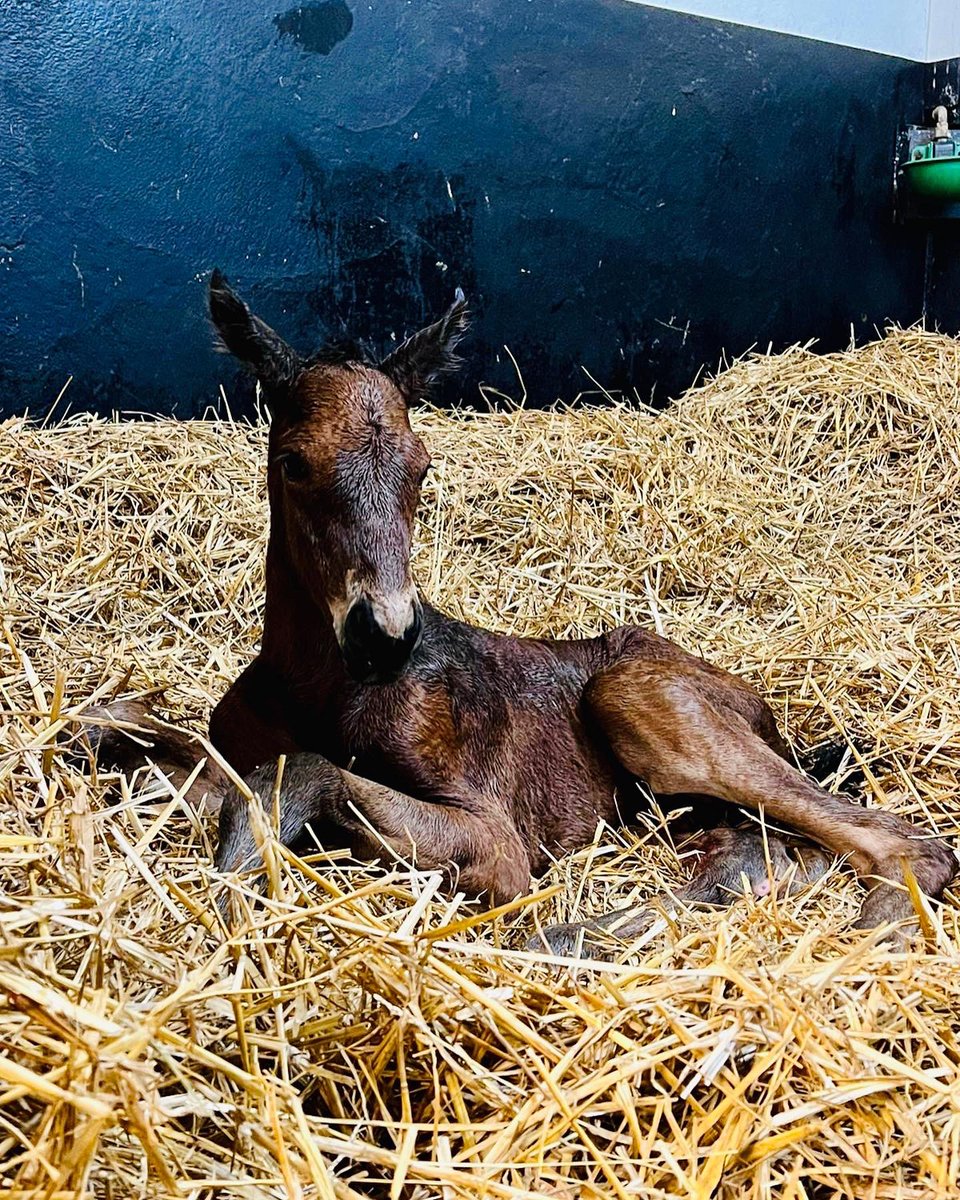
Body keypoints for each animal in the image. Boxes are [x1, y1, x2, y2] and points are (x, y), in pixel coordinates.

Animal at [94, 271, 957, 955]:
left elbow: (302, 768)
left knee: (902, 842)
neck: (314, 687)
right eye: (294, 463)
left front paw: (235, 884)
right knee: (759, 852)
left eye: (421, 467)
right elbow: (145, 742)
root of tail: (761, 708)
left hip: (640, 697)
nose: (386, 636)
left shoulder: (496, 839)